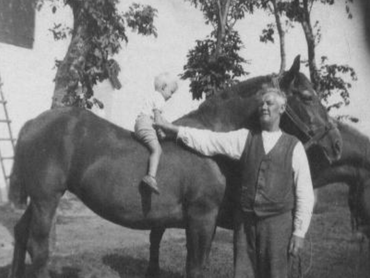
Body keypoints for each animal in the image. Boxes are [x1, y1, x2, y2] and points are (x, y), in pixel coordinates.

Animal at [7, 56, 342, 278]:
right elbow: (195, 267)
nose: (336, 144)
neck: (213, 148)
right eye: (308, 97)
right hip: (47, 200)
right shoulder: (201, 218)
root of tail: (33, 123)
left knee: (21, 234)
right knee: (38, 248)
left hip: (39, 200)